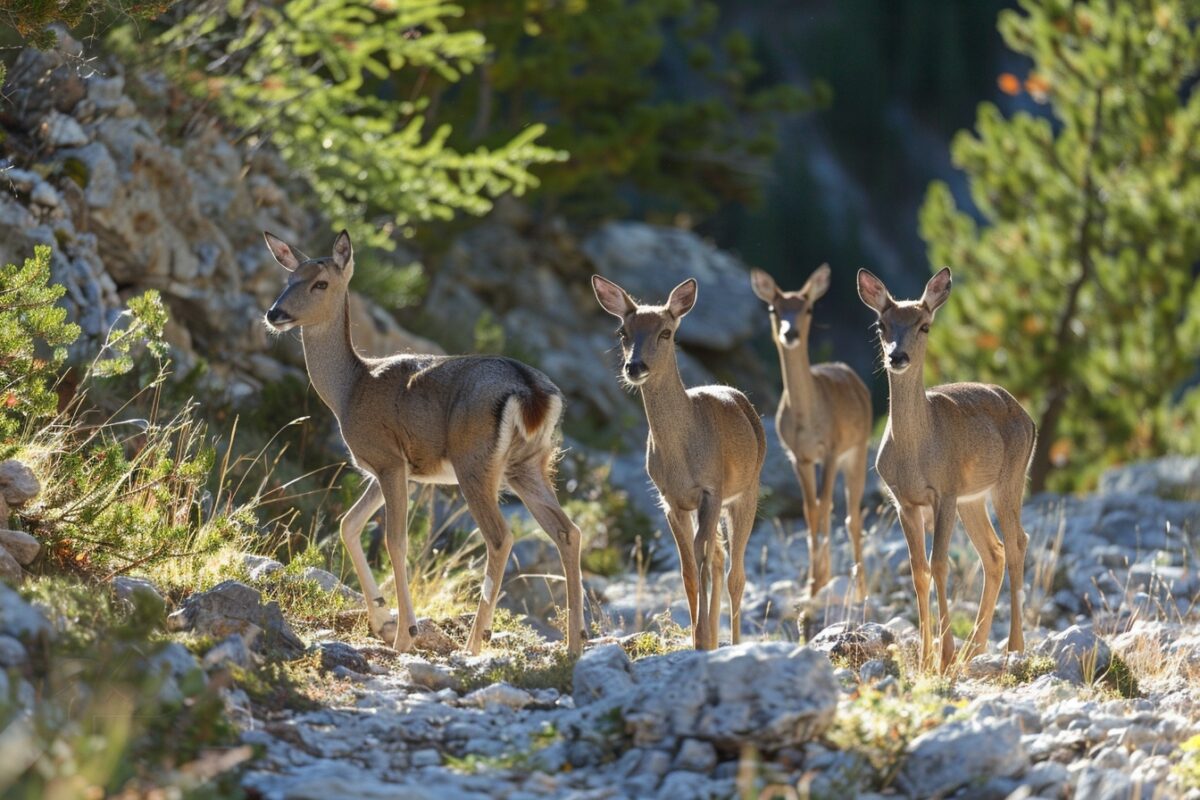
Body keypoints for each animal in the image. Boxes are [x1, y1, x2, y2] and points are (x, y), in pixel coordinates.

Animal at [262, 231, 585, 657]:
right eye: (289, 279)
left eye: (321, 283)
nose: (275, 314)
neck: (349, 390)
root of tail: (532, 392)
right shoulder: (398, 471)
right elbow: (349, 524)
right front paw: (383, 619)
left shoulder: (387, 460)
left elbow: (394, 541)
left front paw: (404, 634)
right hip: (529, 465)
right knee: (567, 531)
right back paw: (574, 644)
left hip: (474, 462)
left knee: (500, 537)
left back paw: (473, 644)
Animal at [590, 275, 768, 652]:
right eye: (622, 331)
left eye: (666, 332)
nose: (635, 367)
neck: (681, 455)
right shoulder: (671, 500)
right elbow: (688, 568)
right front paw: (699, 639)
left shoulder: (711, 489)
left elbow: (702, 559)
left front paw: (701, 637)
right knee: (719, 558)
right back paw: (713, 637)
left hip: (747, 491)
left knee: (736, 572)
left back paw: (733, 641)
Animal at [748, 263, 873, 599]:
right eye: (773, 307)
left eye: (808, 307)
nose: (789, 332)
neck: (807, 419)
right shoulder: (798, 456)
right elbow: (809, 510)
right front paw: (813, 583)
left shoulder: (830, 449)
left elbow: (826, 506)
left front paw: (819, 580)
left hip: (857, 450)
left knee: (852, 516)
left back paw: (860, 589)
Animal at [859, 266, 1036, 671]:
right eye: (880, 324)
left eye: (924, 325)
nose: (898, 356)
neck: (917, 451)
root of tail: (1027, 416)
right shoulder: (904, 502)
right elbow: (918, 571)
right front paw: (927, 657)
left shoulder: (945, 492)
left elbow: (940, 564)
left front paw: (943, 654)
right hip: (973, 500)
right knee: (994, 552)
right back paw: (975, 649)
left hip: (1009, 481)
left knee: (1017, 543)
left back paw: (1012, 647)